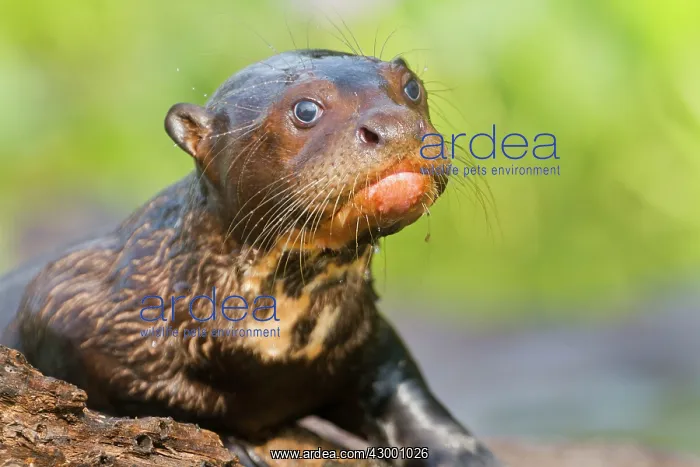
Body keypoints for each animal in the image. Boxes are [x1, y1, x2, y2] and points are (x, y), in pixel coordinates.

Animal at [0, 49, 501, 467]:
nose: (394, 126)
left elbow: (403, 391)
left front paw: (460, 451)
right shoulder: (63, 301)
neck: (277, 346)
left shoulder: (366, 335)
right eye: (306, 109)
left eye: (411, 87)